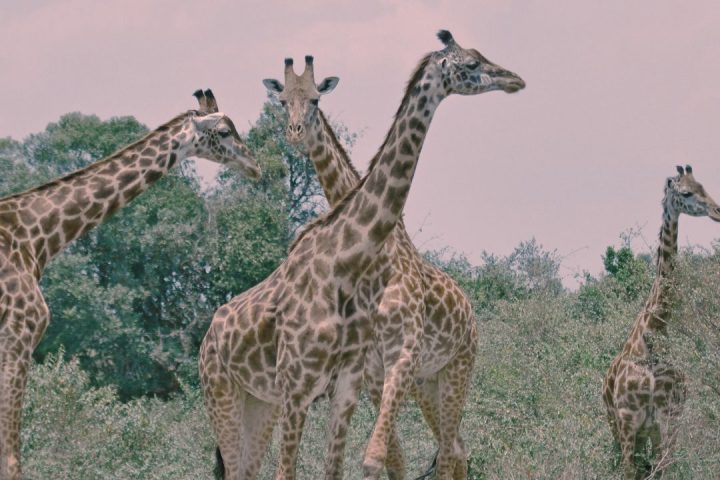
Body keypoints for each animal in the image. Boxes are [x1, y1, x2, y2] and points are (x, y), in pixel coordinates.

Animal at [200, 30, 525, 480]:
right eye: (473, 63)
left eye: (316, 100)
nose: (515, 79)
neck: (348, 262)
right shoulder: (307, 385)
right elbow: (369, 461)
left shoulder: (364, 376)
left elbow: (365, 462)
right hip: (229, 395)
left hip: (449, 368)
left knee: (452, 449)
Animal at [602, 165, 720, 480]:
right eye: (686, 192)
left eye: (703, 185)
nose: (717, 211)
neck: (653, 335)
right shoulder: (628, 421)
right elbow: (629, 473)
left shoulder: (668, 419)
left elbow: (663, 470)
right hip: (615, 426)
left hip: (650, 432)